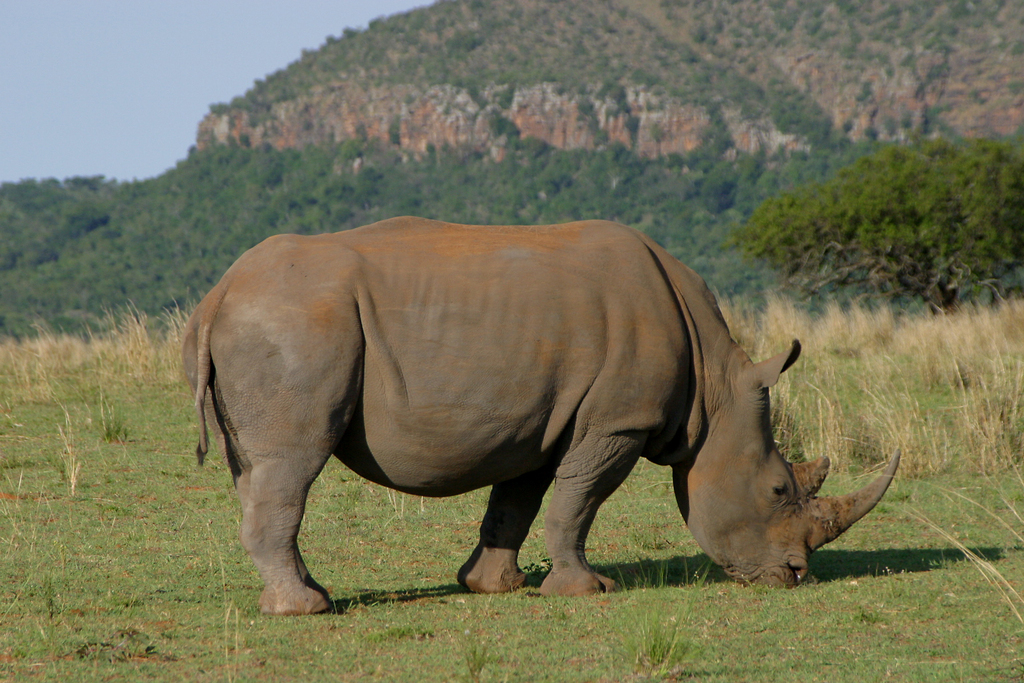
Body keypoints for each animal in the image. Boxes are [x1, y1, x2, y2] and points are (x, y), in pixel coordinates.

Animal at [182, 217, 899, 615]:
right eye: (778, 489)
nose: (795, 576)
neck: (715, 390)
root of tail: (220, 291)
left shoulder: (536, 419)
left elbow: (517, 504)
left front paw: (492, 586)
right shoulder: (618, 421)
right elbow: (578, 502)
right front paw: (587, 591)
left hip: (271, 326)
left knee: (256, 470)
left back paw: (307, 595)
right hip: (295, 328)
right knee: (292, 465)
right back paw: (304, 610)